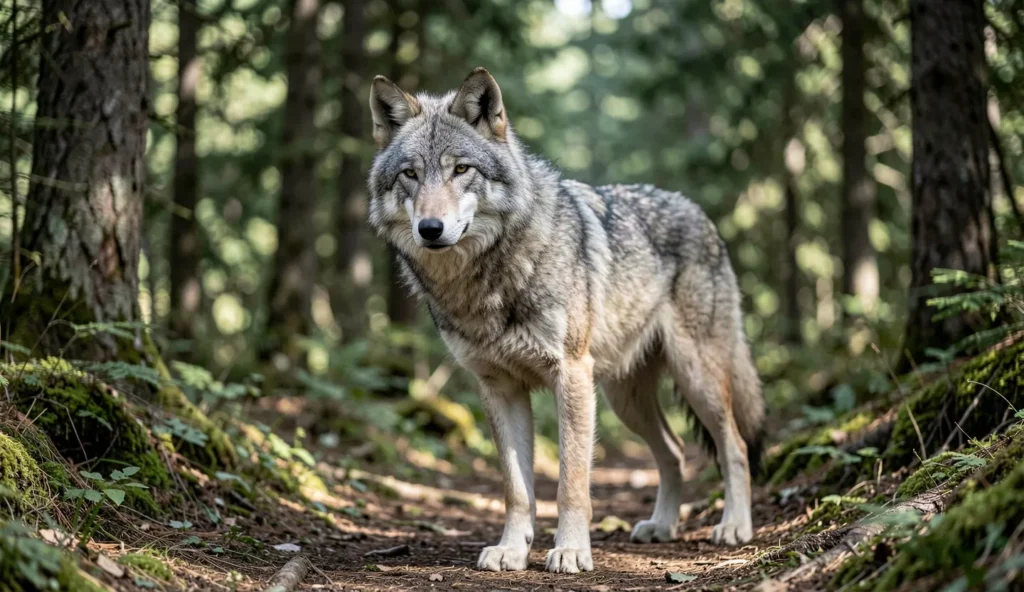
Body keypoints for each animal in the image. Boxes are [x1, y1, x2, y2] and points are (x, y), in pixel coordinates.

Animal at [366, 68, 765, 574]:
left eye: (461, 170)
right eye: (411, 174)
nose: (430, 229)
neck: (490, 280)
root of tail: (698, 212)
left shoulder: (571, 375)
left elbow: (571, 481)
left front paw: (572, 550)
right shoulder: (499, 388)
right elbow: (516, 489)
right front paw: (512, 550)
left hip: (696, 379)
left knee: (735, 447)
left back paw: (734, 526)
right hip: (625, 400)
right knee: (674, 451)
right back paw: (662, 526)